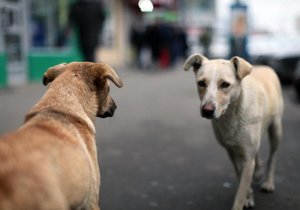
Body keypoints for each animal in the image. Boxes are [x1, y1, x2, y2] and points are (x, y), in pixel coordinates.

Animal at [183, 54, 284, 210]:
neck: (232, 115)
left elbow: (240, 192)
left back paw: (268, 182)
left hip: (276, 130)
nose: (207, 110)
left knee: (272, 157)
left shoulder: (247, 158)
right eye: (201, 83)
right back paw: (258, 172)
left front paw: (243, 199)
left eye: (225, 84)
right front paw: (249, 196)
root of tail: (265, 66)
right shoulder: (231, 152)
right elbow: (240, 176)